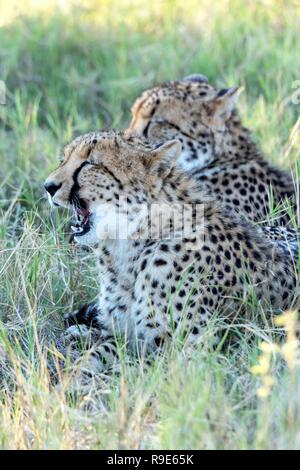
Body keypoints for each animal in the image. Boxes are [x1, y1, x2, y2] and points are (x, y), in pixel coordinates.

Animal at [43, 129, 298, 374]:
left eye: (90, 163)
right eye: (63, 160)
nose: (48, 186)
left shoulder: (195, 352)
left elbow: (132, 370)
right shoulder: (125, 337)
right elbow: (96, 355)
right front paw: (74, 376)